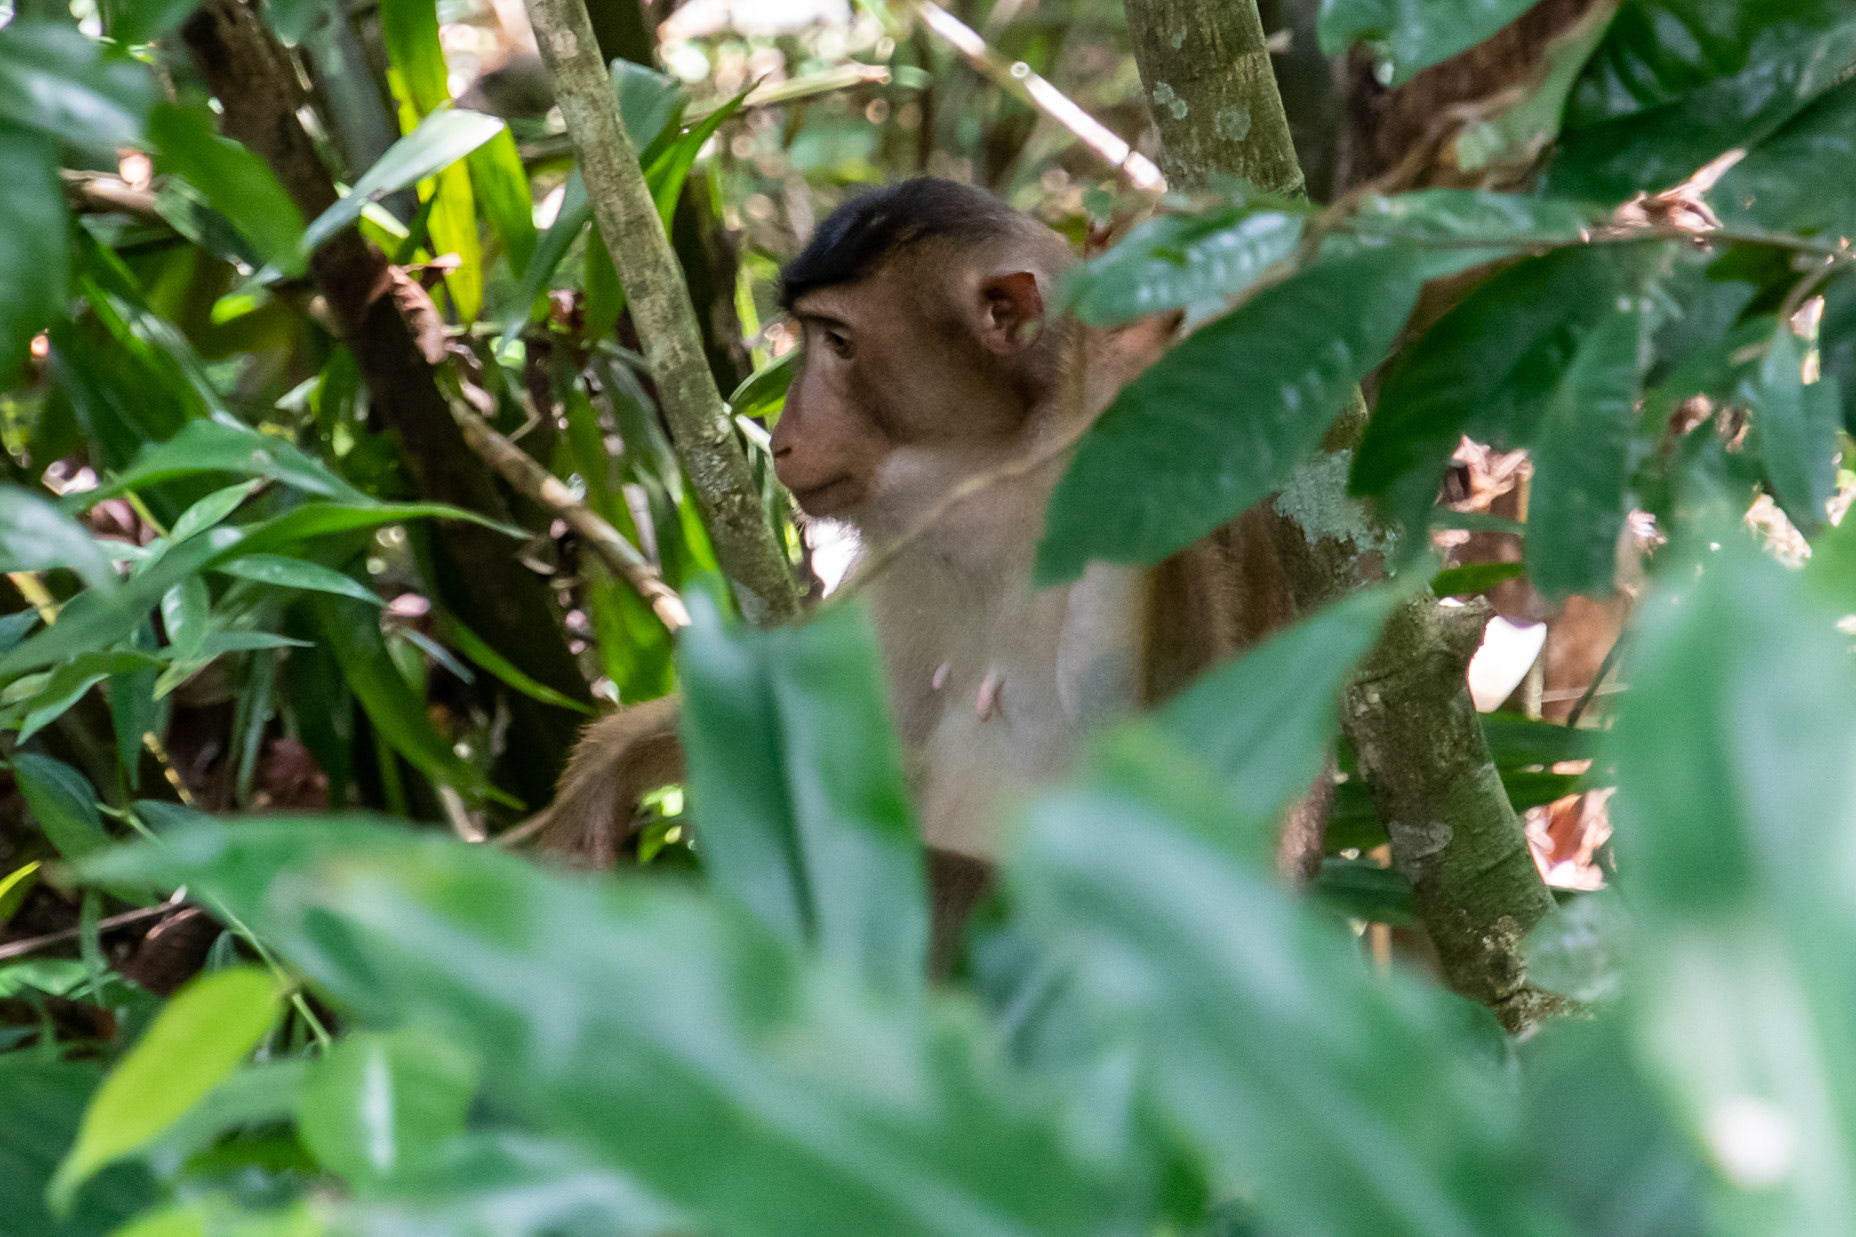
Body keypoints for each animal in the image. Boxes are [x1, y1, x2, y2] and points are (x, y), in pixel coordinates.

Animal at [525, 178, 1302, 952]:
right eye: (810, 336)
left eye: (839, 342)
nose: (784, 435)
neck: (999, 479)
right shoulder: (894, 560)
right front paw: (603, 779)